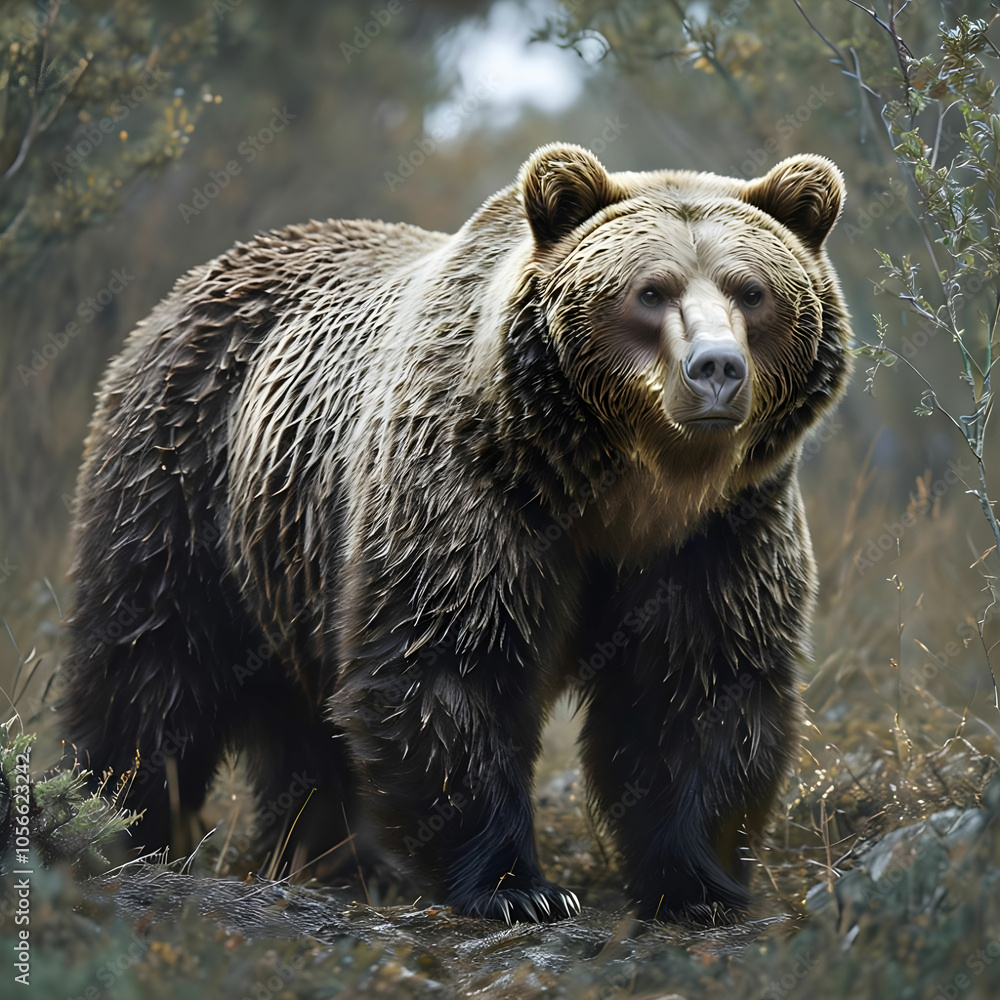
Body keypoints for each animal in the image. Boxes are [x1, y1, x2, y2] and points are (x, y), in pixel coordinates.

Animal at [59, 143, 850, 923]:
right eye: (650, 292)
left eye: (752, 291)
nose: (715, 367)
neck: (625, 483)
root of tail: (190, 284)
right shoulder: (479, 488)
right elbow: (450, 662)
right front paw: (518, 887)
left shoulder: (722, 531)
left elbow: (702, 684)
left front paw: (697, 884)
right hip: (184, 478)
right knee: (153, 662)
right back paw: (121, 822)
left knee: (302, 721)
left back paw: (334, 858)